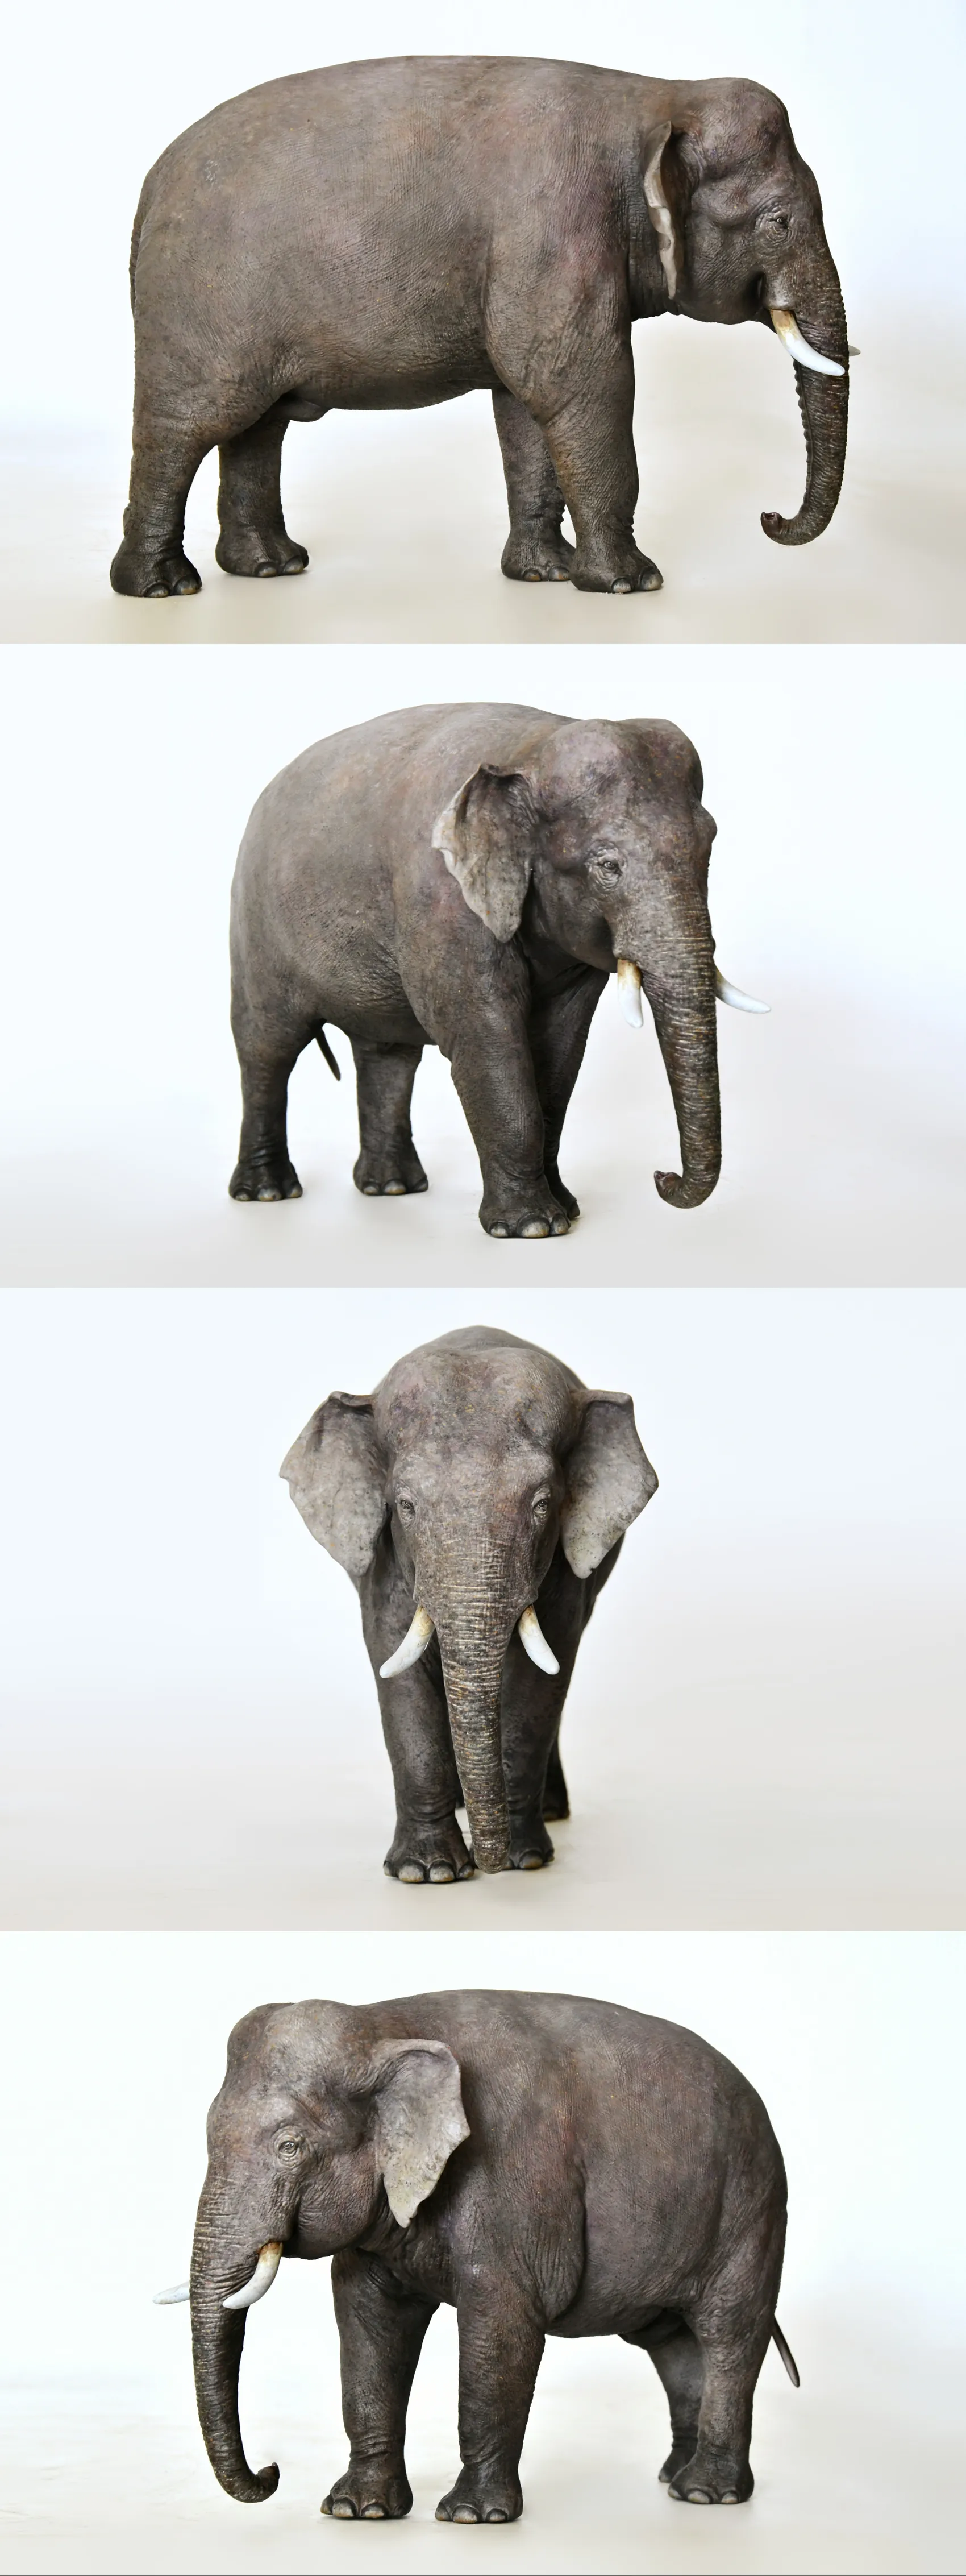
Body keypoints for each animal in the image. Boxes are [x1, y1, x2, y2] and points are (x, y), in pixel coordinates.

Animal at [110, 55, 850, 600]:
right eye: (777, 221)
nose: (768, 517)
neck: (661, 95)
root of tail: (146, 190)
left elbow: (523, 406)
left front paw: (545, 575)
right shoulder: (557, 230)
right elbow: (581, 387)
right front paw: (630, 584)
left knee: (257, 429)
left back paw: (271, 566)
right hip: (198, 307)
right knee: (185, 430)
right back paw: (162, 588)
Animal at [155, 1987, 798, 2521]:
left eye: (290, 2146)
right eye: (208, 2134)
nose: (272, 2470)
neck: (385, 2024)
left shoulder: (514, 2188)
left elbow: (501, 2331)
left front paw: (470, 2516)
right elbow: (367, 2324)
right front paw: (356, 2510)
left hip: (752, 2208)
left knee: (727, 2335)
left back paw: (707, 2494)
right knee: (673, 2346)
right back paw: (673, 2479)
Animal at [229, 700, 767, 1240]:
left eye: (709, 851)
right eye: (608, 866)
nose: (661, 1176)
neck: (533, 748)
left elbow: (559, 1046)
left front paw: (567, 1210)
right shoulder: (443, 899)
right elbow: (486, 1036)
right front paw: (532, 1228)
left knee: (388, 1053)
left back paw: (392, 1188)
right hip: (255, 928)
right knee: (268, 1046)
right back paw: (267, 1193)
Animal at [280, 1324, 656, 1878]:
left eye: (543, 1504)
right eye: (406, 1505)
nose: (488, 1862)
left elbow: (541, 1675)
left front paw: (525, 1860)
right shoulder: (384, 1558)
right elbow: (393, 1656)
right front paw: (428, 1872)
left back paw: (547, 1811)